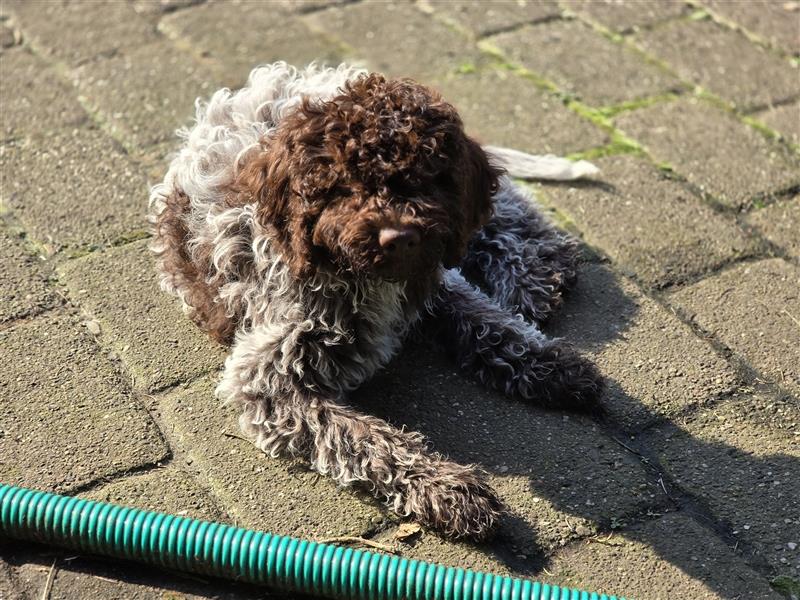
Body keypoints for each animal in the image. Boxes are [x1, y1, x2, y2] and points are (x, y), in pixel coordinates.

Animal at [148, 63, 600, 540]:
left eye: (423, 177)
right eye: (343, 186)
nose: (397, 238)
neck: (362, 277)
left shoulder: (432, 277)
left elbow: (484, 318)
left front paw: (550, 364)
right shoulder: (269, 380)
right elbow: (362, 437)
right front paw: (447, 490)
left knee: (510, 212)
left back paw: (532, 275)